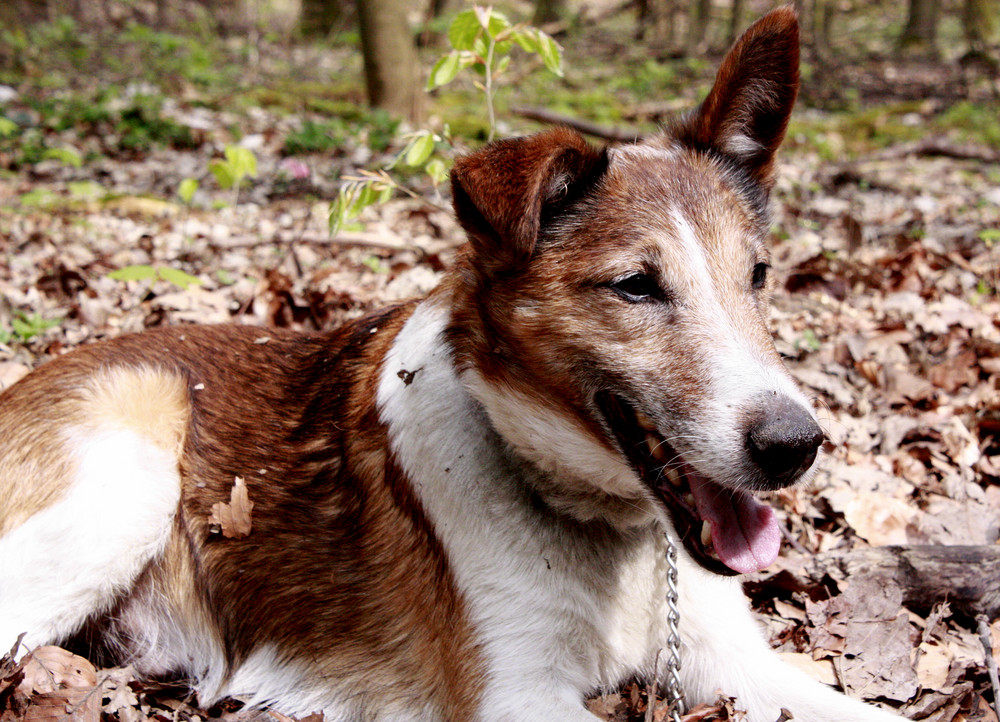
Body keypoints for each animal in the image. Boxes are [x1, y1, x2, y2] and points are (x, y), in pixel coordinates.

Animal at [0, 7, 904, 720]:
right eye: (635, 286)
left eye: (758, 276)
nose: (795, 446)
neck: (602, 529)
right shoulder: (516, 698)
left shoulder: (734, 661)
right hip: (128, 481)